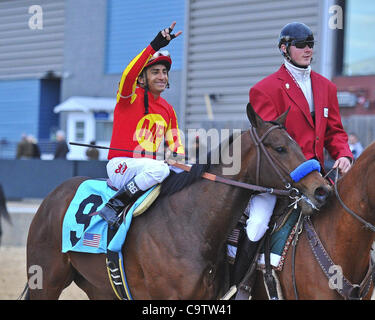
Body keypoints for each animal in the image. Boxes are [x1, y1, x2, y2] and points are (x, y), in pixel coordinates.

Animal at [25, 104, 332, 298]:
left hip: (99, 288)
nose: (322, 189)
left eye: (298, 145)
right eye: (280, 148)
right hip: (46, 281)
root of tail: (53, 196)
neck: (191, 223)